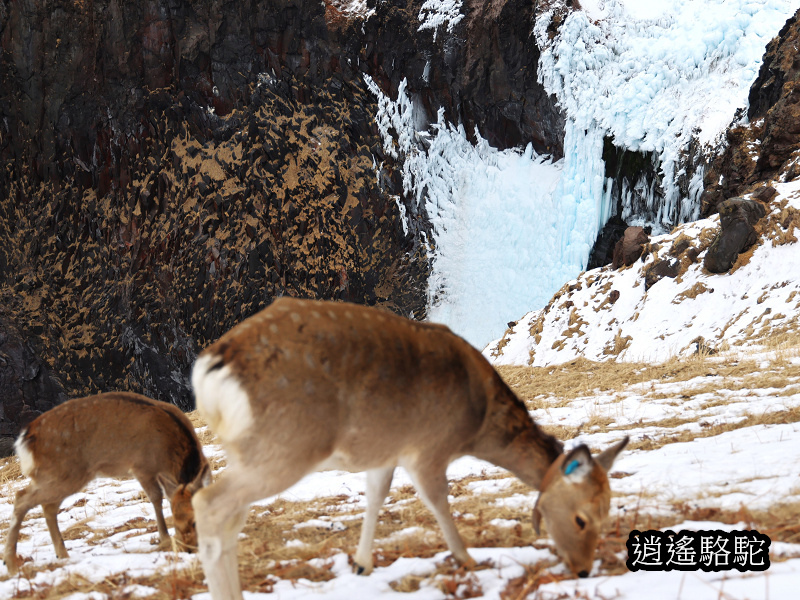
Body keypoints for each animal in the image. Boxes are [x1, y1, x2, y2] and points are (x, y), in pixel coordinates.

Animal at [1, 392, 212, 576]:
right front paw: (165, 539)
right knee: (22, 497)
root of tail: (27, 438)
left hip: (60, 476)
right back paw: (11, 565)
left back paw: (62, 555)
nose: (189, 549)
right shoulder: (141, 467)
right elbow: (156, 498)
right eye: (177, 521)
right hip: (63, 474)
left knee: (47, 507)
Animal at [191, 300, 628, 600]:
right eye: (582, 518)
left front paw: (362, 564)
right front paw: (469, 560)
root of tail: (210, 371)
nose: (585, 571)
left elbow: (375, 497)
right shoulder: (428, 449)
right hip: (287, 445)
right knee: (208, 504)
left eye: (608, 511)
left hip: (251, 451)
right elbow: (438, 501)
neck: (478, 425)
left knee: (229, 519)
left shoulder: (386, 452)